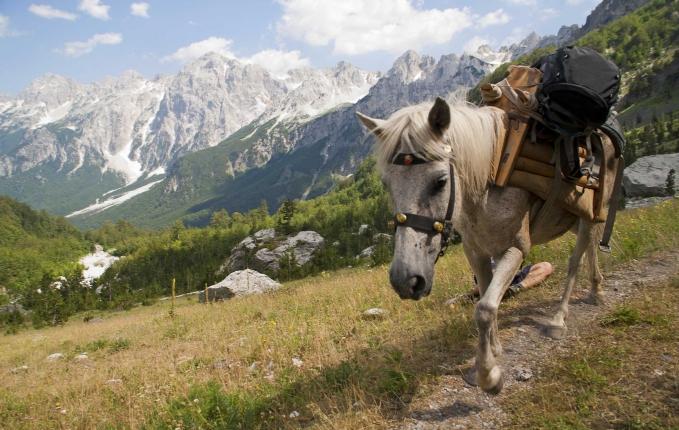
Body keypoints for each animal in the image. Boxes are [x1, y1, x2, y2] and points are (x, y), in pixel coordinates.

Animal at [358, 97, 620, 394]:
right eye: (387, 184)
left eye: (440, 181)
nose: (406, 281)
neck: (487, 186)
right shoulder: (477, 253)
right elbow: (486, 295)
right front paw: (494, 350)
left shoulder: (516, 250)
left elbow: (484, 309)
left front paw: (488, 374)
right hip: (575, 218)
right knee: (590, 247)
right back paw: (596, 290)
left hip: (592, 212)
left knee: (577, 258)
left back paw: (558, 319)